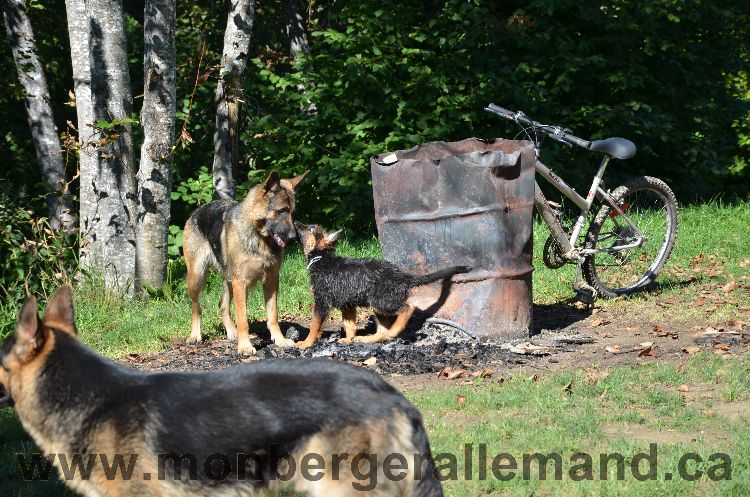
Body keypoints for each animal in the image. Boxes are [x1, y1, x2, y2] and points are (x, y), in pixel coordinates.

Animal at [185, 170, 308, 352]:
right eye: (281, 211)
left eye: (292, 212)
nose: (294, 238)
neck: (259, 237)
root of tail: (198, 210)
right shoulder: (241, 282)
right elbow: (243, 318)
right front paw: (244, 346)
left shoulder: (271, 281)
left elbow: (273, 316)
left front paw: (279, 340)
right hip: (197, 277)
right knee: (196, 307)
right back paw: (195, 335)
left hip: (229, 281)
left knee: (222, 305)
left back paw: (232, 332)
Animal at [294, 223, 470, 346]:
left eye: (310, 228)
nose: (295, 221)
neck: (322, 259)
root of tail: (404, 276)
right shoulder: (348, 305)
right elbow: (349, 325)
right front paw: (349, 339)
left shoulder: (322, 301)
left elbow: (314, 324)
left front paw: (306, 343)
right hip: (378, 304)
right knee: (383, 329)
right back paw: (367, 339)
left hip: (382, 301)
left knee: (408, 307)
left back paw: (394, 331)